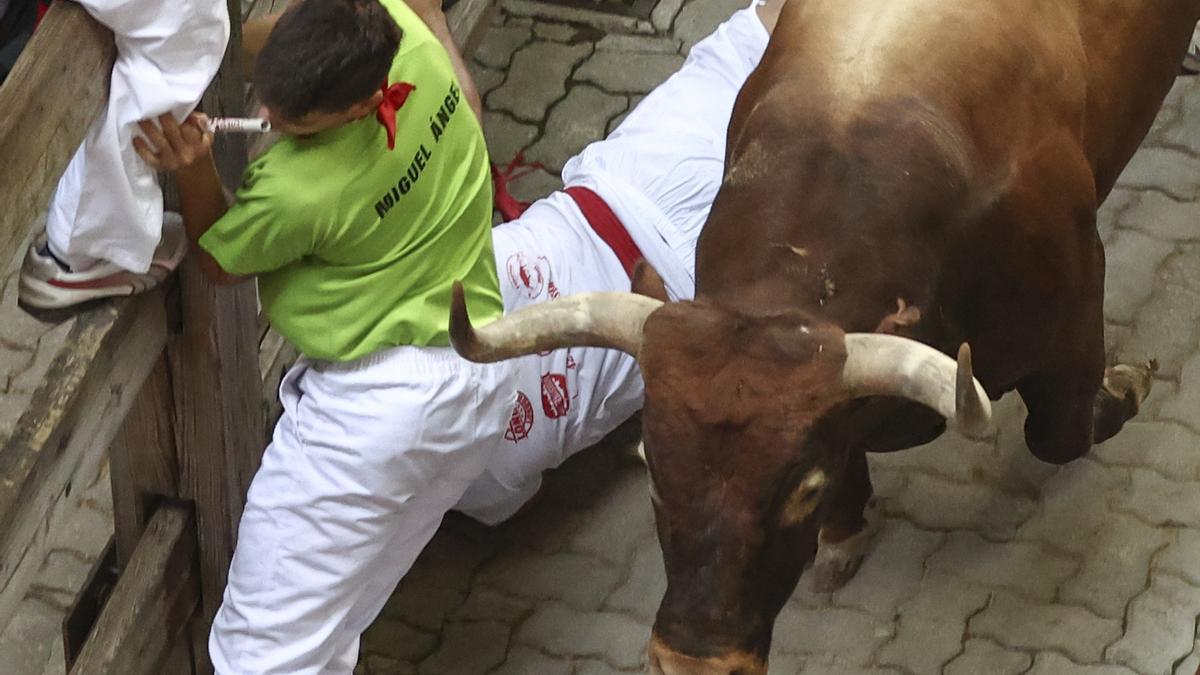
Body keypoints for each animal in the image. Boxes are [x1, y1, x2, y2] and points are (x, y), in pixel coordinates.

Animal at [451, 2, 1200, 667]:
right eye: (652, 470)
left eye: (803, 490)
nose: (694, 661)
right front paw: (844, 533)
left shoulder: (1073, 310)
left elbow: (1059, 434)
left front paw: (1128, 385)